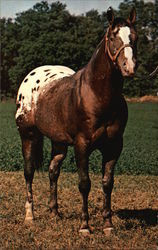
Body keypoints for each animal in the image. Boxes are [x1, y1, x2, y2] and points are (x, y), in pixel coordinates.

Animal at [15, 7, 138, 234]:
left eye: (134, 37)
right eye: (112, 37)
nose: (129, 67)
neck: (97, 95)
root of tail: (31, 76)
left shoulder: (114, 146)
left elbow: (107, 183)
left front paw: (108, 225)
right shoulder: (82, 145)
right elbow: (84, 183)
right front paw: (84, 226)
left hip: (59, 143)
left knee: (53, 171)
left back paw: (54, 213)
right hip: (28, 135)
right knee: (28, 173)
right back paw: (30, 216)